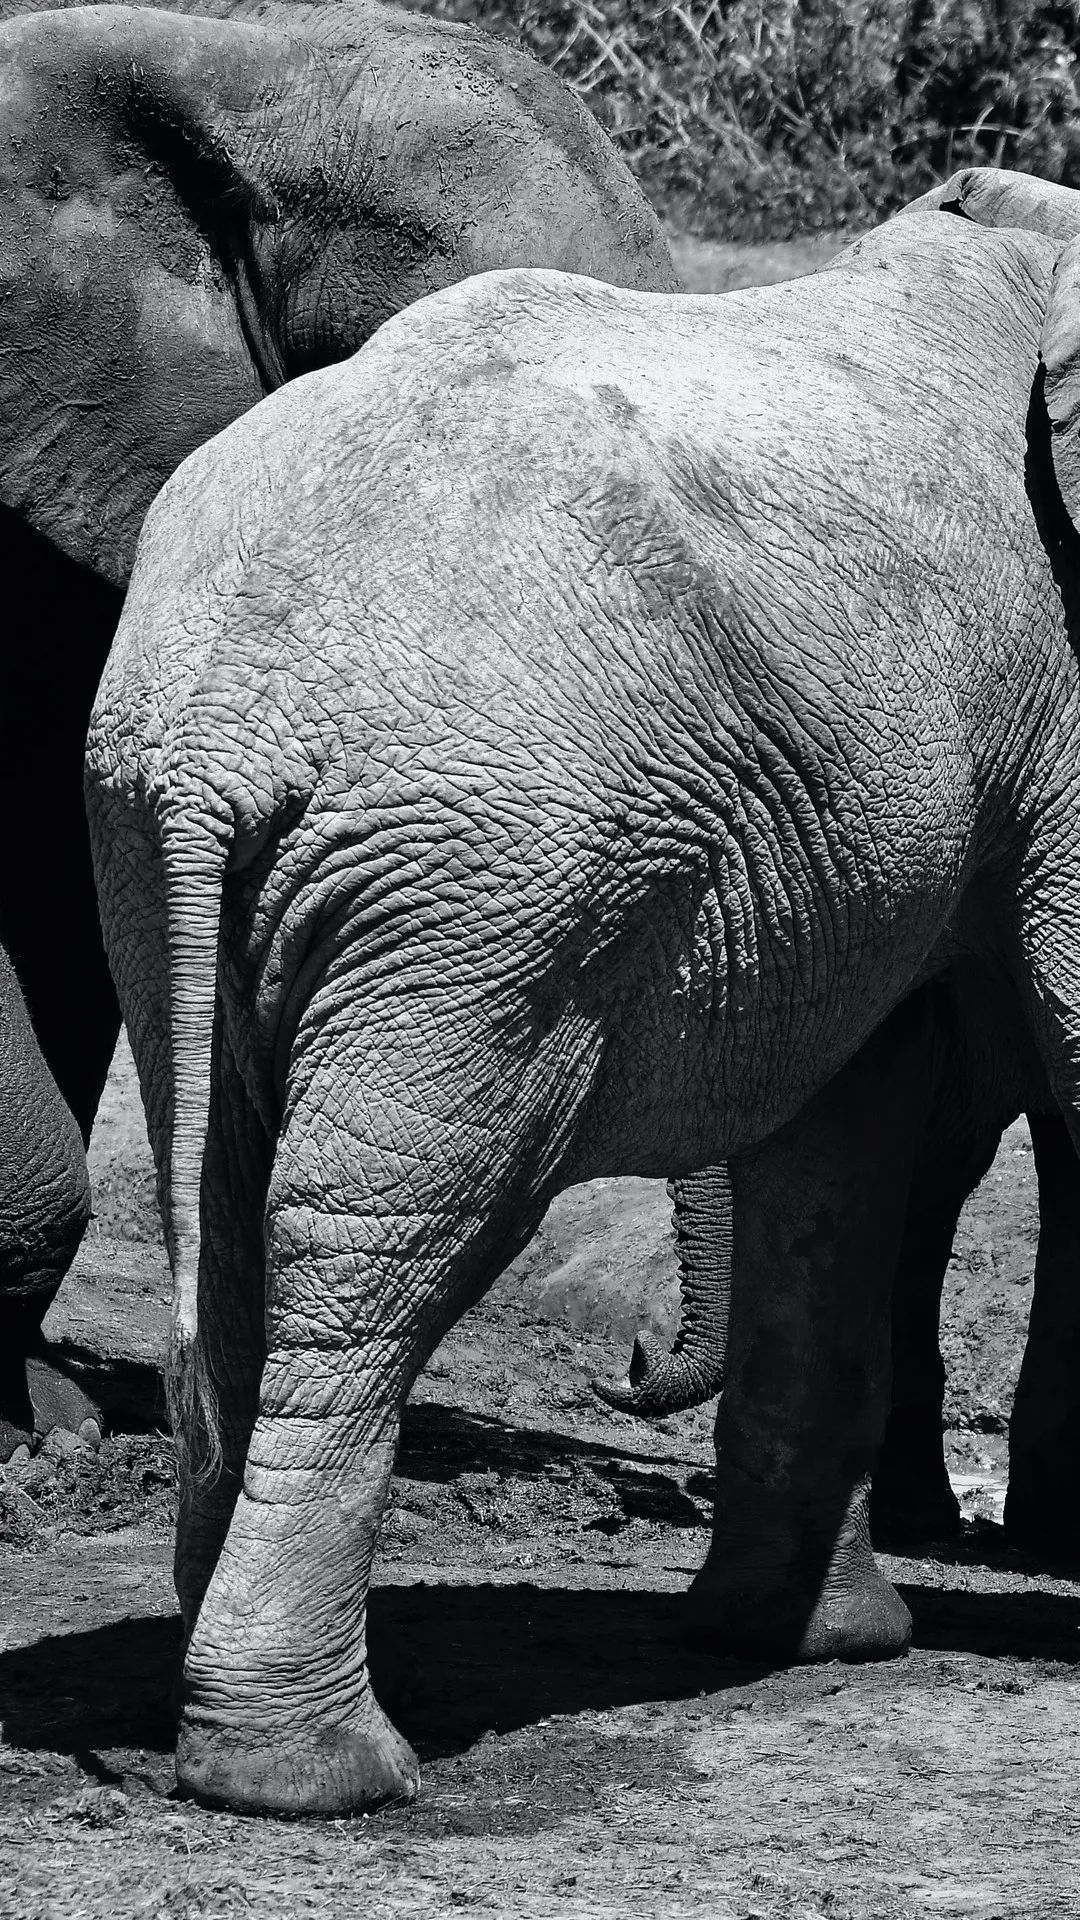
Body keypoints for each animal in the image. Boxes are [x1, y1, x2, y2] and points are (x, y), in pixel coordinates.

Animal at [84, 191, 1080, 1816]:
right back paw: (318, 1775)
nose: (623, 1360)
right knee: (377, 1232)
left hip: (151, 846)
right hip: (480, 882)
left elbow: (838, 1137)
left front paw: (811, 1645)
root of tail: (222, 729)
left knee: (226, 1205)